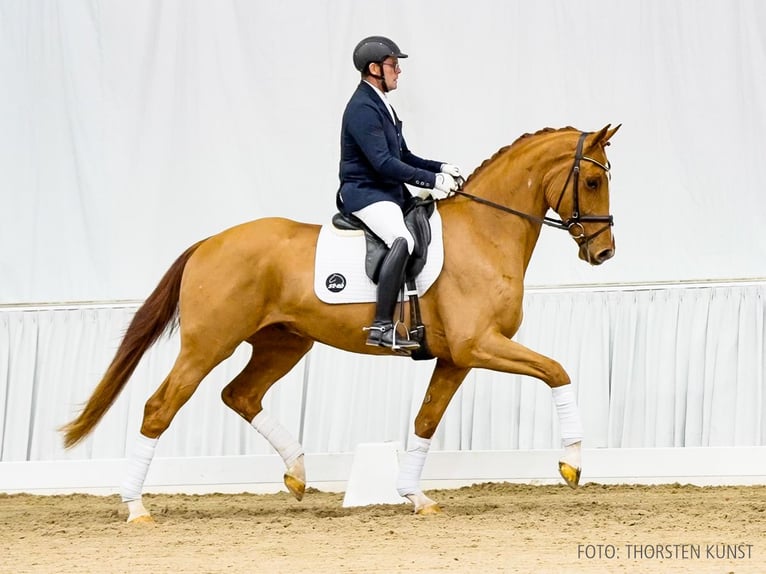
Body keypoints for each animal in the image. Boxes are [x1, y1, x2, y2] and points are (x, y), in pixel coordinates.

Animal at [61, 124, 624, 524]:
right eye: (593, 180)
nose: (604, 252)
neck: (485, 233)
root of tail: (208, 243)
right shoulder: (480, 345)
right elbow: (556, 370)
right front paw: (573, 462)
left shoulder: (456, 357)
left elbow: (426, 420)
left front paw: (414, 495)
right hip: (209, 344)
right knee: (161, 407)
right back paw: (135, 507)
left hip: (285, 344)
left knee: (240, 394)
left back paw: (296, 473)